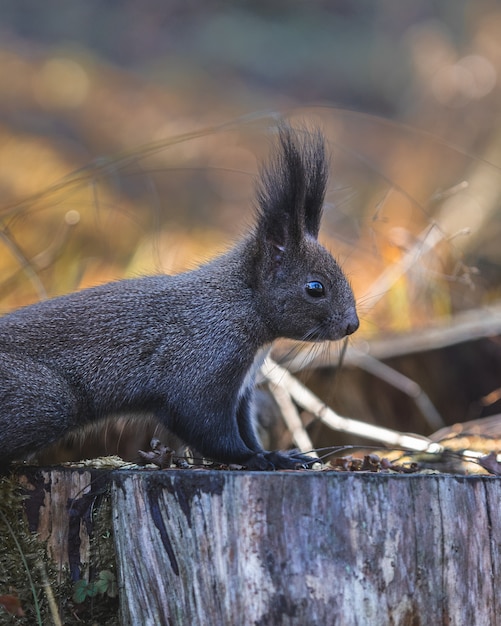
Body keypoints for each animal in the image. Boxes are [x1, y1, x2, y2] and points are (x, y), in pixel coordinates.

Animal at [0, 123, 358, 468]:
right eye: (315, 288)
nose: (352, 325)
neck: (238, 303)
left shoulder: (241, 391)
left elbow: (244, 428)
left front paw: (278, 456)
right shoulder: (200, 365)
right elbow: (207, 427)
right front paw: (257, 459)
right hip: (46, 400)